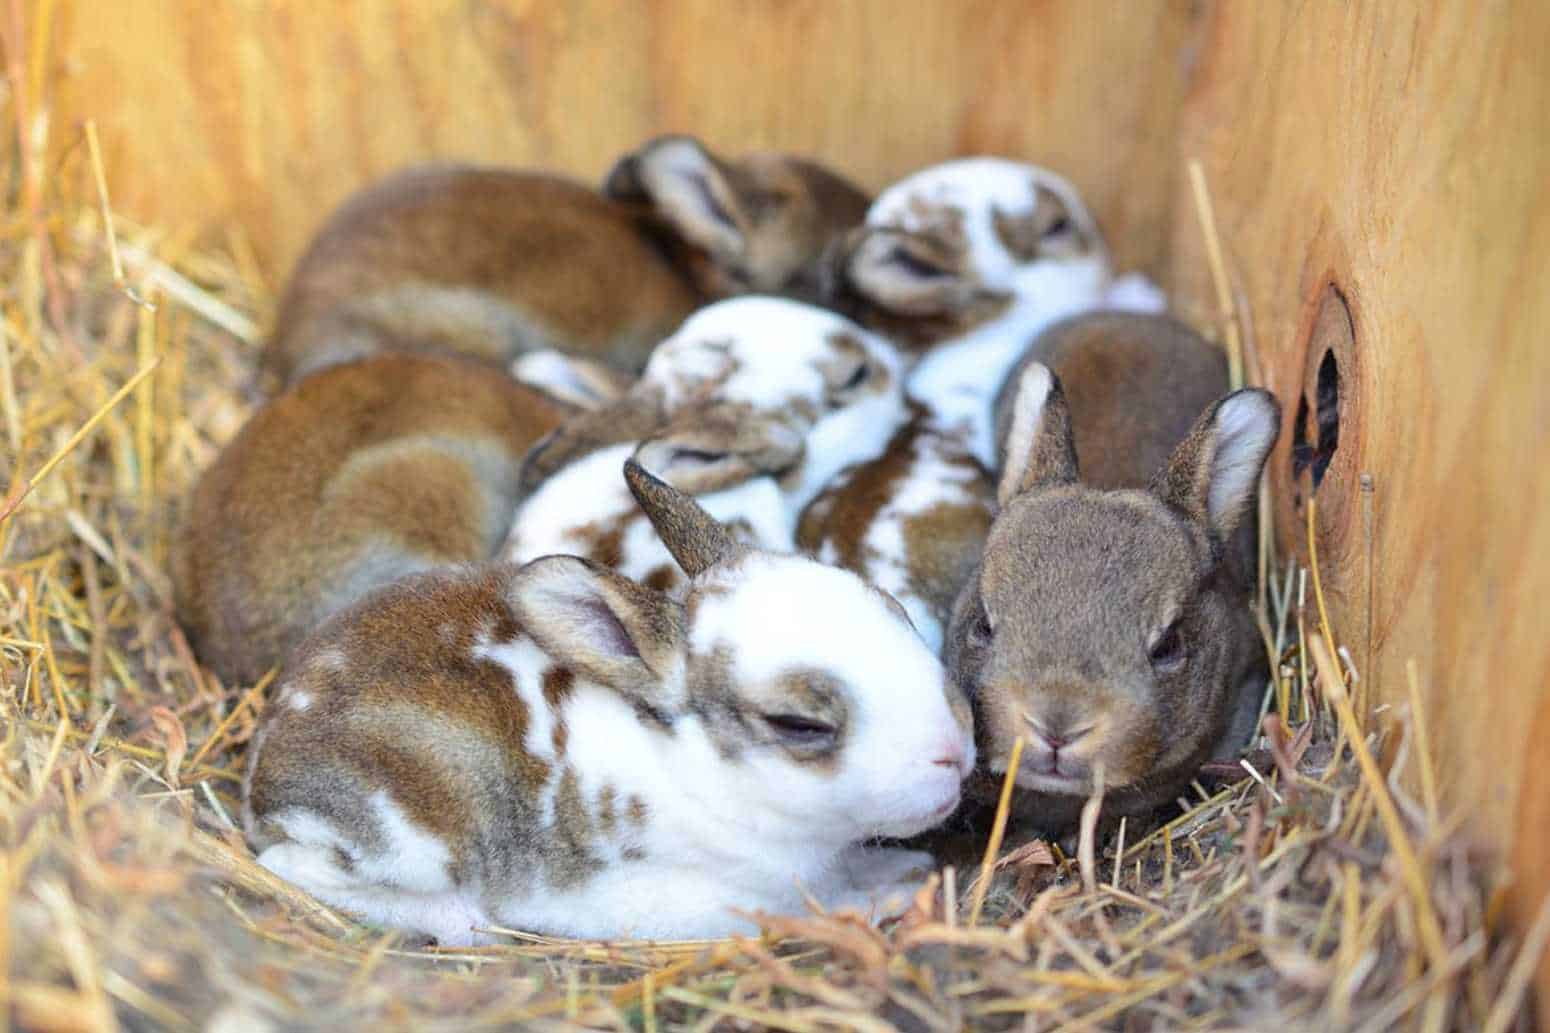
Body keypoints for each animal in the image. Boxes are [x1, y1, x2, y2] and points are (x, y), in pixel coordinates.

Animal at [246, 459, 973, 943]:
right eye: (798, 723)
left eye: (894, 607)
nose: (956, 751)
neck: (696, 771)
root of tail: (263, 766)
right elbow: (809, 908)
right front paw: (890, 892)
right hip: (405, 839)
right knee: (290, 867)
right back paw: (463, 920)